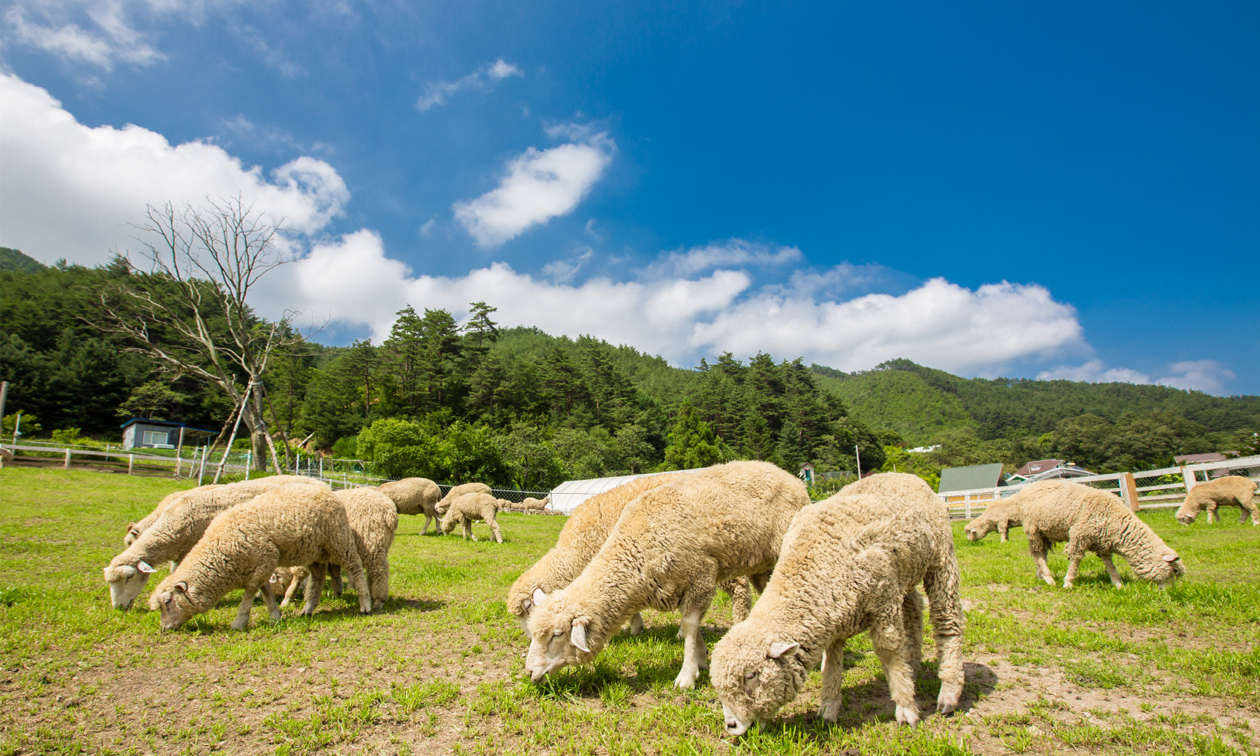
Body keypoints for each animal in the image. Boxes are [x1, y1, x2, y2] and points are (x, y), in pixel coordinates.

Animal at [149, 483, 370, 632]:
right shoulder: (263, 565)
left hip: (338, 539)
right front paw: (275, 615)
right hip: (315, 550)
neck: (220, 552)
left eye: (168, 601)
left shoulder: (264, 560)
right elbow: (266, 591)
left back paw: (365, 604)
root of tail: (328, 491)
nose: (164, 628)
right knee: (318, 576)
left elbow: (249, 594)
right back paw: (308, 607)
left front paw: (239, 623)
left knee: (355, 567)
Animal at [521, 461, 806, 690]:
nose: (529, 672)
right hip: (761, 566)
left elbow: (690, 625)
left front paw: (687, 675)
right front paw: (701, 659)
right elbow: (694, 627)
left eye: (557, 635)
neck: (636, 550)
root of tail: (789, 476)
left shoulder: (701, 575)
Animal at [710, 476, 962, 735]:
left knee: (947, 620)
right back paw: (912, 662)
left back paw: (949, 691)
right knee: (914, 608)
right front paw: (828, 707)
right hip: (904, 574)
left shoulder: (883, 604)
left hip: (941, 562)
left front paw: (906, 707)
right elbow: (832, 663)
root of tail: (905, 476)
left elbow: (889, 653)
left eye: (751, 676)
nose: (731, 725)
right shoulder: (831, 617)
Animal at [1018, 478, 1184, 589]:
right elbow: (1076, 560)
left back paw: (1040, 575)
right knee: (1038, 554)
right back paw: (1048, 578)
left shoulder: (1102, 541)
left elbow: (1109, 563)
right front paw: (1068, 583)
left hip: (1044, 533)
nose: (1170, 592)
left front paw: (1118, 584)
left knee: (1042, 554)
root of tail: (1025, 489)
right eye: (1173, 571)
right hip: (1034, 529)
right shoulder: (1080, 534)